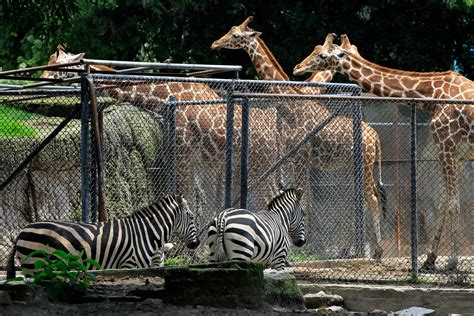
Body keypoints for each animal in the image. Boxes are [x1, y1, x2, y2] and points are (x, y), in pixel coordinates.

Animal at [6, 194, 198, 278]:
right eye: (192, 217)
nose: (196, 244)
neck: (146, 232)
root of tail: (22, 230)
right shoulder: (129, 265)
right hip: (33, 265)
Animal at [213, 16, 386, 260]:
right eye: (230, 30)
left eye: (237, 35)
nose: (215, 44)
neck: (290, 104)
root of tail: (376, 137)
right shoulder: (292, 156)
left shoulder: (302, 155)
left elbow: (301, 199)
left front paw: (303, 245)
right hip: (352, 165)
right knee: (358, 199)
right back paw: (349, 249)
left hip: (365, 164)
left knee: (370, 199)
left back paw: (375, 251)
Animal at [294, 31, 472, 270]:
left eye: (322, 55)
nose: (297, 67)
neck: (432, 96)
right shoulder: (457, 155)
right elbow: (444, 203)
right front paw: (429, 260)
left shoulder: (446, 146)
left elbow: (452, 205)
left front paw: (451, 262)